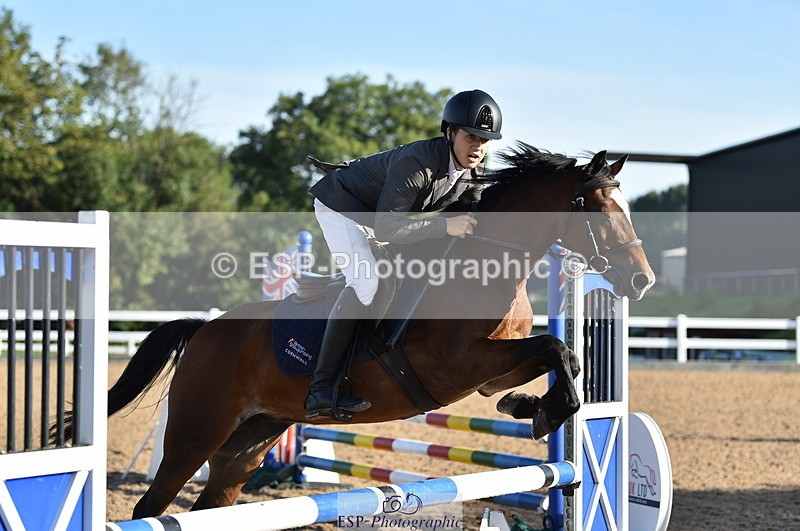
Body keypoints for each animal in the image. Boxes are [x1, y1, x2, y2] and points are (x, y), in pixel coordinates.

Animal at [77, 143, 655, 518]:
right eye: (600, 211)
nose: (642, 280)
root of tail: (203, 332)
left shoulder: (490, 368)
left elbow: (561, 357)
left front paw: (528, 407)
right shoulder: (460, 365)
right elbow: (555, 346)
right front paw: (543, 412)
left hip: (248, 441)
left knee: (210, 503)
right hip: (196, 431)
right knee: (152, 505)